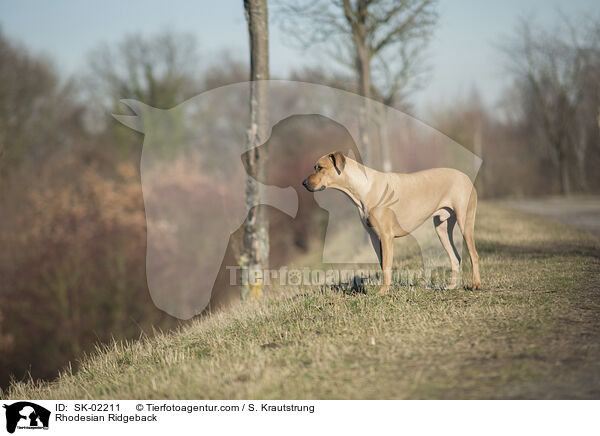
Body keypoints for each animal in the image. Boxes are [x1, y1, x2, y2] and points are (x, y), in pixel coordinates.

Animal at [302, 152, 480, 294]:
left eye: (319, 168)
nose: (303, 182)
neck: (363, 188)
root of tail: (466, 177)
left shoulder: (386, 236)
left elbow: (387, 266)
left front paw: (383, 292)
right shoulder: (375, 238)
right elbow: (383, 265)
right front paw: (386, 289)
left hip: (465, 221)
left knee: (474, 254)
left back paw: (475, 285)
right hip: (441, 228)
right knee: (455, 257)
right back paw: (452, 286)